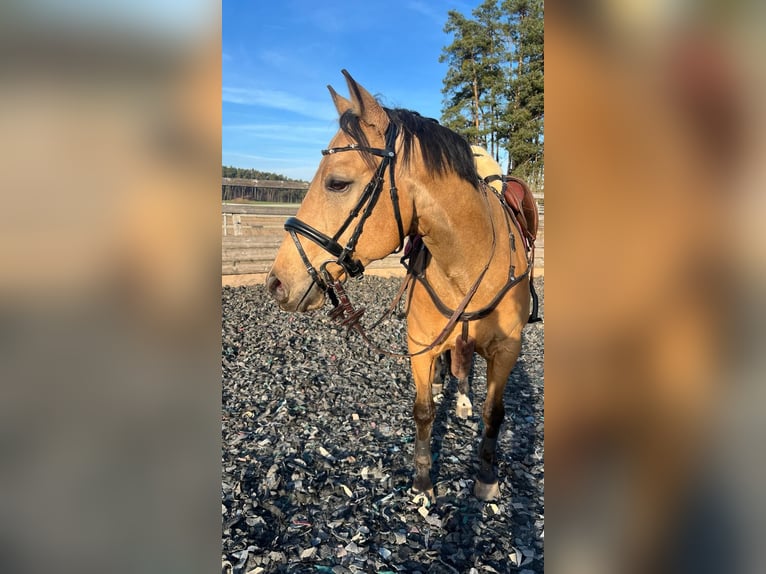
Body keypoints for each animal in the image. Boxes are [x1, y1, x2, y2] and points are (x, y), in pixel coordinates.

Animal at [266, 70, 537, 501]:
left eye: (337, 183)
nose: (276, 281)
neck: (468, 260)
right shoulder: (420, 345)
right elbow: (423, 411)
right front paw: (424, 482)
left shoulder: (508, 350)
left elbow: (494, 414)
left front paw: (486, 477)